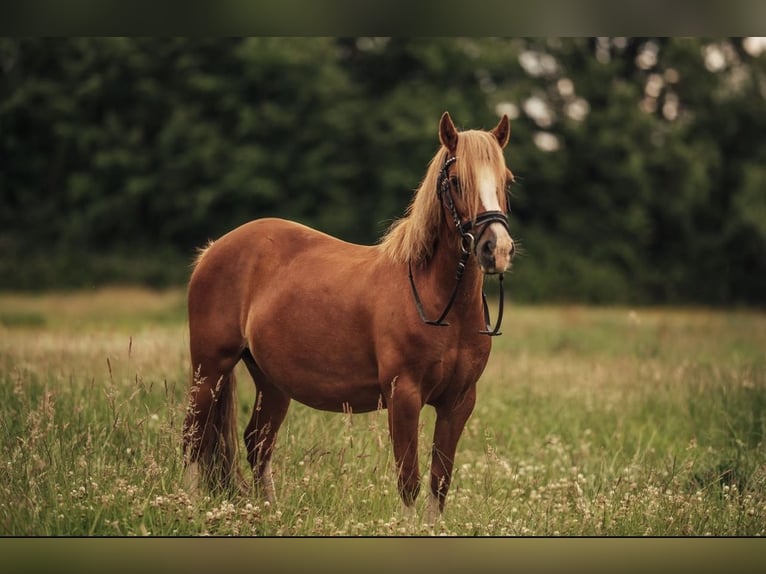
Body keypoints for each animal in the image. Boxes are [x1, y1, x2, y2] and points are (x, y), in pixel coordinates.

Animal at [182, 110, 516, 520]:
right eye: (456, 181)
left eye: (506, 180)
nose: (496, 249)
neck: (439, 303)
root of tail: (213, 250)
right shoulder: (403, 396)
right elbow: (409, 479)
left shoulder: (459, 402)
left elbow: (440, 482)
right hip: (209, 368)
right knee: (195, 437)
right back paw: (189, 504)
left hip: (270, 381)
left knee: (257, 443)